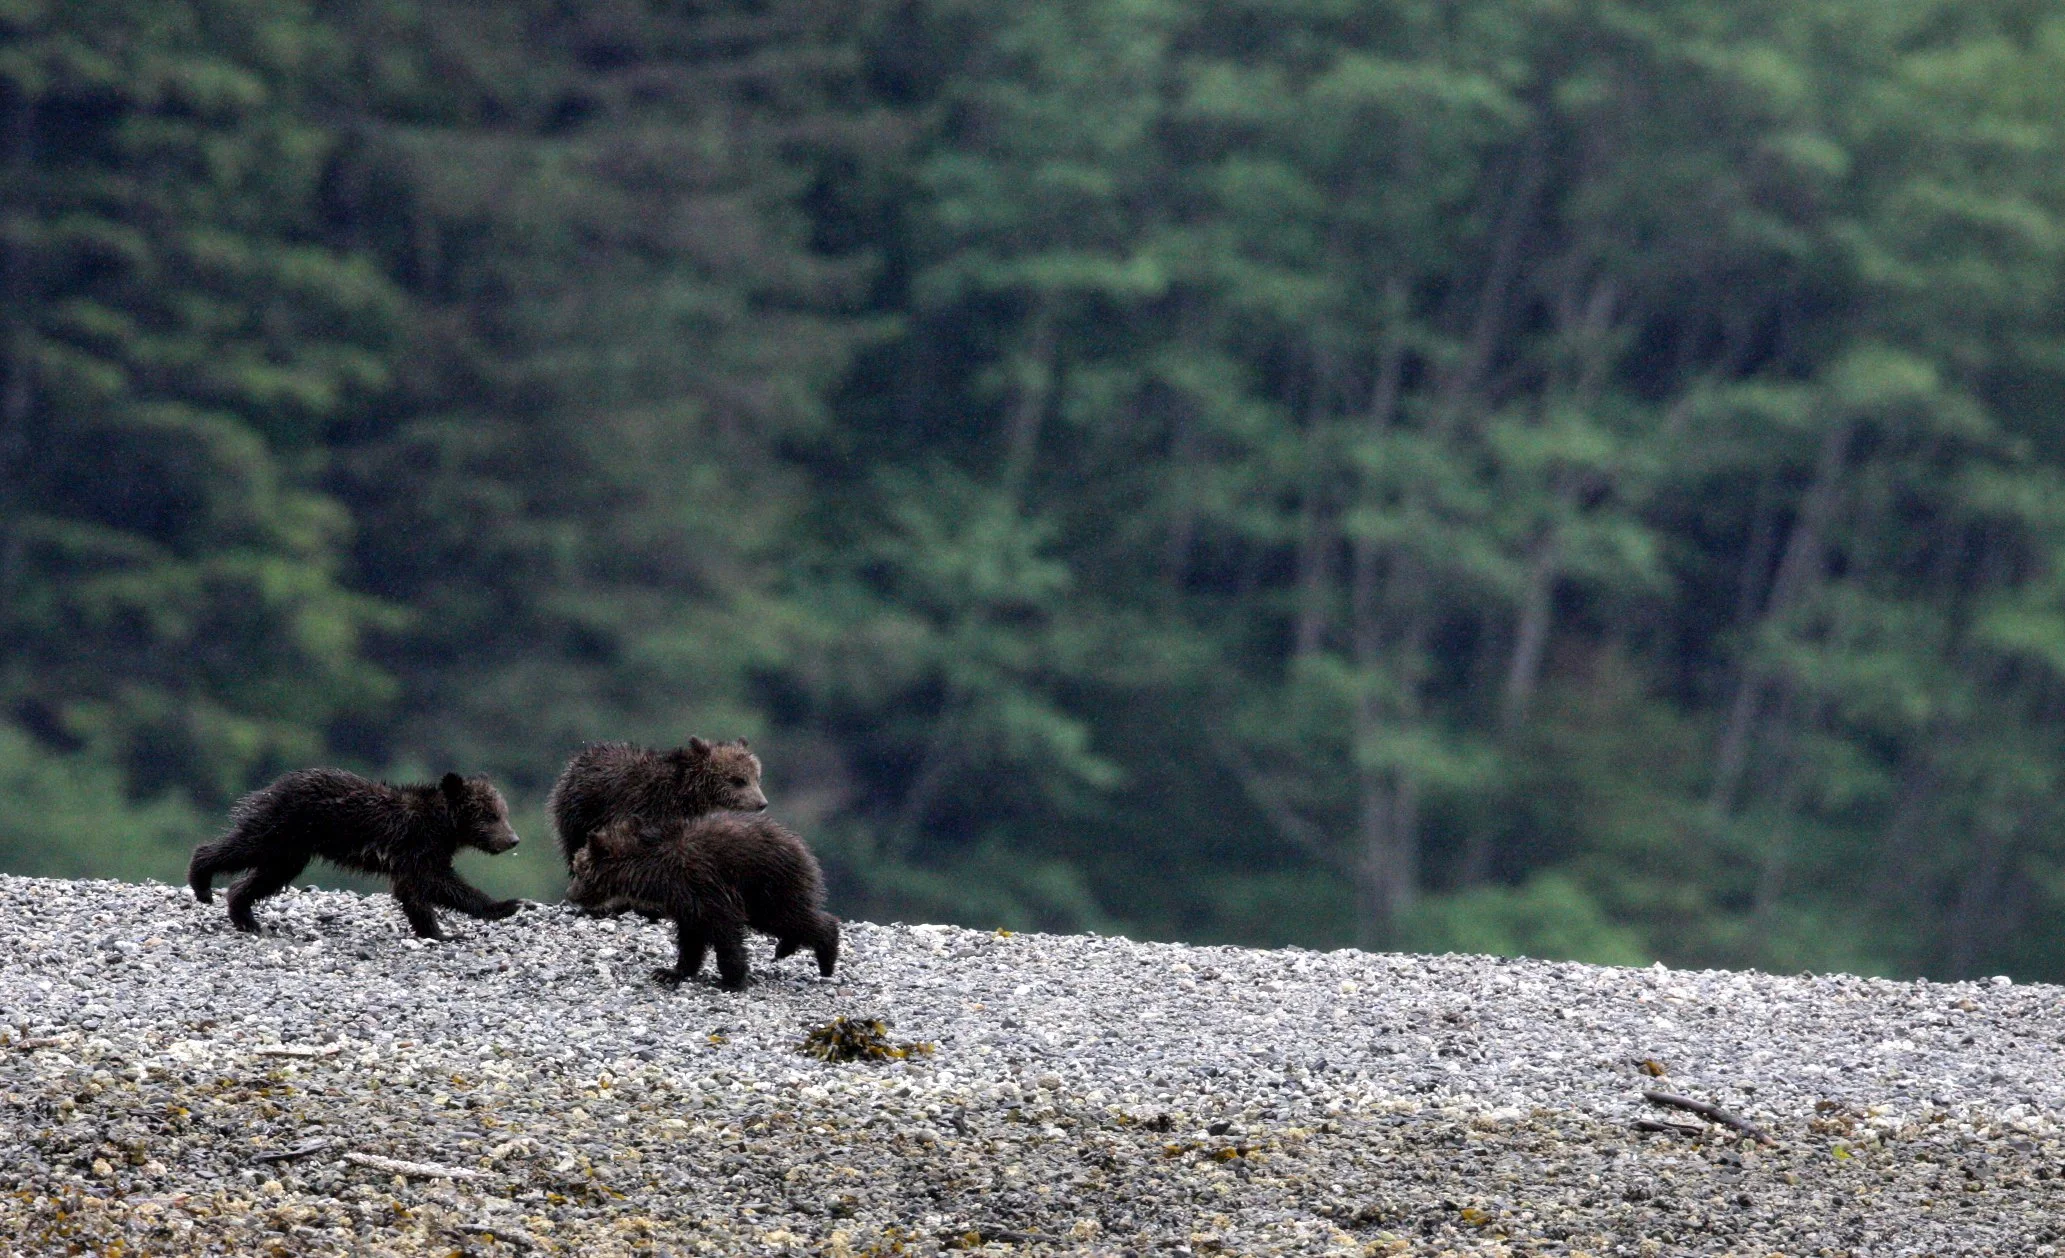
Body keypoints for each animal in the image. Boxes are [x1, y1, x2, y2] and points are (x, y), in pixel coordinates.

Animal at [187, 768, 523, 940]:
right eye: (490, 815)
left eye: (503, 812)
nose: (513, 839)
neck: (444, 826)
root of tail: (273, 785)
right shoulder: (417, 846)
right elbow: (439, 885)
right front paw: (504, 906)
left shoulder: (418, 854)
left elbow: (416, 892)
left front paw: (437, 931)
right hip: (282, 825)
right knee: (242, 847)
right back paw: (202, 882)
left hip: (291, 848)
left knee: (267, 875)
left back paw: (245, 916)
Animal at [565, 811, 839, 990]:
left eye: (580, 870)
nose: (571, 894)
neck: (652, 871)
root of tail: (800, 845)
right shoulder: (684, 901)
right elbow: (691, 938)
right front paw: (670, 972)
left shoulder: (703, 885)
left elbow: (724, 931)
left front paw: (731, 979)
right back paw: (787, 948)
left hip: (769, 885)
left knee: (791, 917)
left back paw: (826, 958)